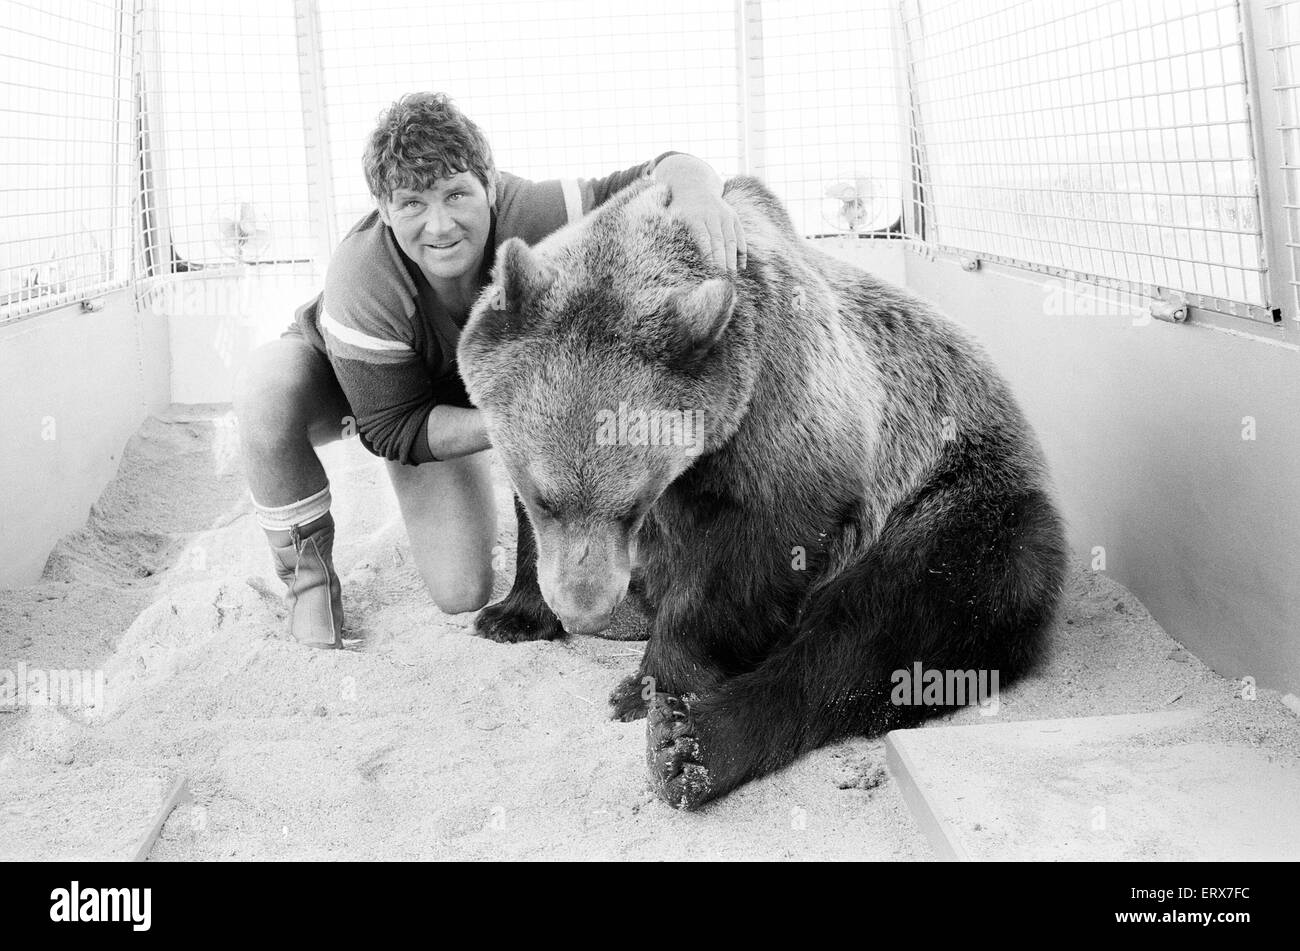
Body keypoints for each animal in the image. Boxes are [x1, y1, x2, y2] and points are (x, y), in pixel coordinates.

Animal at [457, 174, 1070, 810]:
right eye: (543, 497)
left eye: (632, 508)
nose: (585, 609)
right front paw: (512, 615)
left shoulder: (786, 409)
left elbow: (750, 561)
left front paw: (652, 685)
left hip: (960, 502)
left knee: (883, 628)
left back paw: (691, 744)